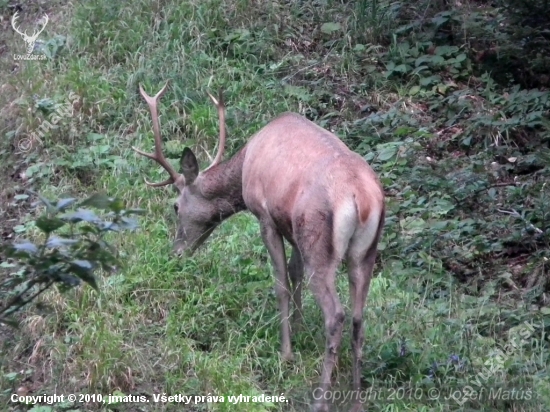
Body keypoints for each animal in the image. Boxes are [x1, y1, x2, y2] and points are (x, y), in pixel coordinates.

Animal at [133, 82, 388, 410]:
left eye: (176, 206)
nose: (176, 253)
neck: (245, 164)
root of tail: (361, 198)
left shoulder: (265, 215)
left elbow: (280, 283)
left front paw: (287, 352)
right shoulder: (290, 225)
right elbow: (294, 272)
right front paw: (300, 328)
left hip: (320, 243)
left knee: (336, 314)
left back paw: (320, 400)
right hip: (364, 252)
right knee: (358, 318)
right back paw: (356, 399)